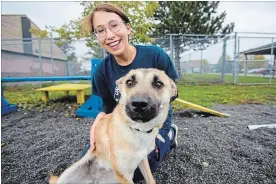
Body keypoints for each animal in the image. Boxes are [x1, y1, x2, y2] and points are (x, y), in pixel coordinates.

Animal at [48, 68, 178, 183]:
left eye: (158, 83)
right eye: (129, 82)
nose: (139, 104)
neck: (138, 130)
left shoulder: (143, 160)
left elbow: (151, 179)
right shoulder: (123, 175)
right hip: (67, 174)